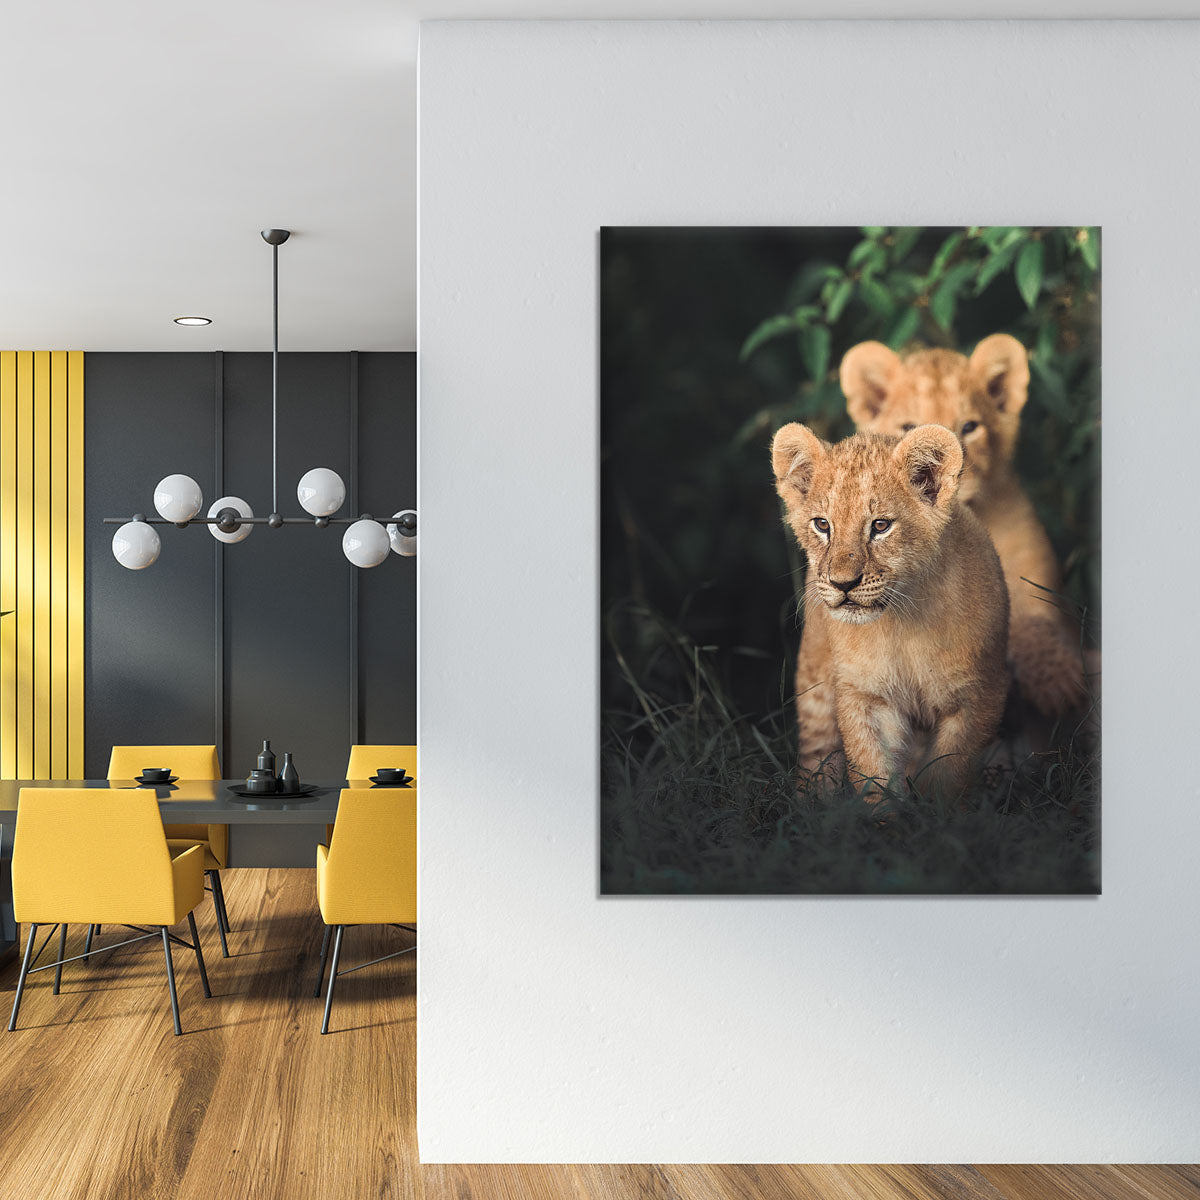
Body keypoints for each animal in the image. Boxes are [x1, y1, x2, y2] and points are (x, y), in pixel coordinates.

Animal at [771, 423, 1009, 798]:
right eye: (822, 525)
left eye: (881, 526)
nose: (842, 584)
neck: (903, 623)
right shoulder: (866, 696)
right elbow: (874, 775)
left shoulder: (979, 696)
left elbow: (948, 775)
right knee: (817, 756)